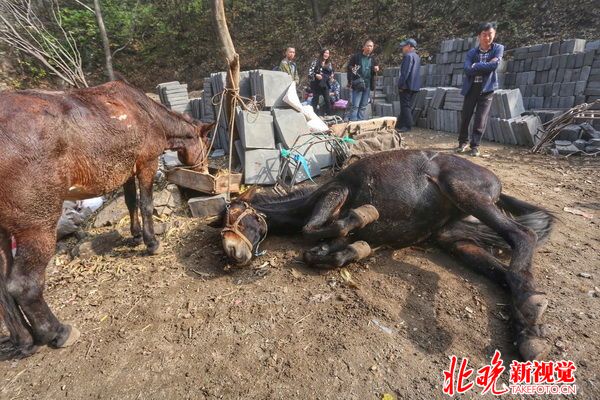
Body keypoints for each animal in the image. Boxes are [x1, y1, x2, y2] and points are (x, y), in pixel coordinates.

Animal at [0, 79, 212, 360]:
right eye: (205, 143)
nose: (205, 167)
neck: (148, 114)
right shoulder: (146, 162)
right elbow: (145, 204)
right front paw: (151, 242)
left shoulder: (126, 169)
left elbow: (131, 201)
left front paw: (135, 234)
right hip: (37, 225)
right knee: (23, 285)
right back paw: (57, 332)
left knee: (3, 287)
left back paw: (24, 339)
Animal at [220, 150, 552, 362]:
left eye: (234, 212)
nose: (233, 252)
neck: (308, 201)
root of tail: (493, 179)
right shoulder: (382, 237)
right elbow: (326, 249)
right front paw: (342, 251)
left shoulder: (336, 193)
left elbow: (313, 229)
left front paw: (361, 217)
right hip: (454, 238)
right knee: (506, 275)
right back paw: (529, 332)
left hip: (463, 191)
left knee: (523, 236)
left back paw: (530, 313)